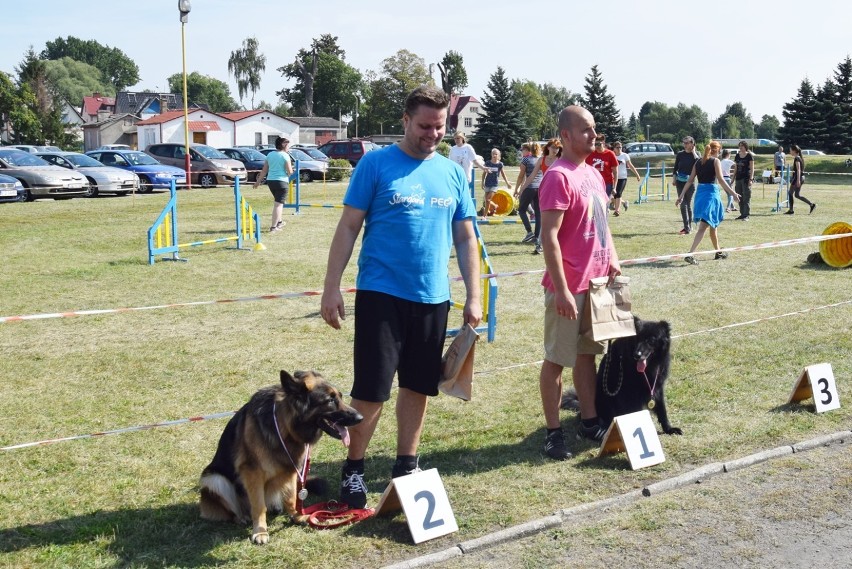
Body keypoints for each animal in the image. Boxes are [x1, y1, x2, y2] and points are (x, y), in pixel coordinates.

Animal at [200, 370, 362, 544]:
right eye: (330, 400)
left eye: (340, 396)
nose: (360, 418)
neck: (284, 426)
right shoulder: (252, 472)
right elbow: (259, 506)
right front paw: (260, 531)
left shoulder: (291, 468)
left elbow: (291, 497)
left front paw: (297, 516)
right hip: (214, 479)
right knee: (232, 510)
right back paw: (241, 517)